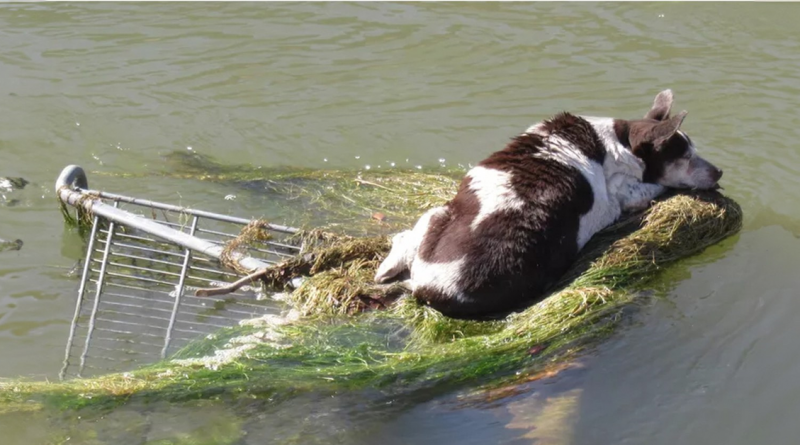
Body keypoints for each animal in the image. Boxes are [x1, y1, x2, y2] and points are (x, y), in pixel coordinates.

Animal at [372, 91, 720, 320]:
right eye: (685, 156)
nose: (720, 172)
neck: (619, 143)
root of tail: (428, 289)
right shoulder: (627, 193)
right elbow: (654, 186)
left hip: (437, 213)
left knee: (404, 239)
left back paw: (386, 268)